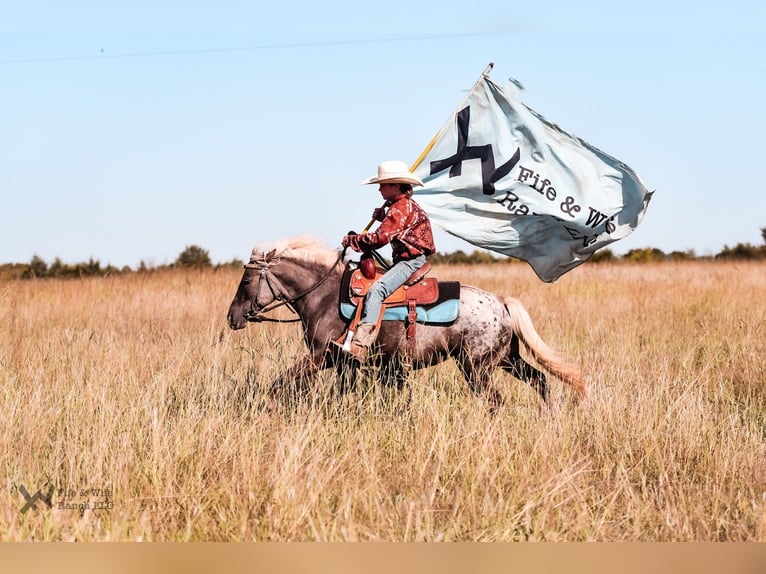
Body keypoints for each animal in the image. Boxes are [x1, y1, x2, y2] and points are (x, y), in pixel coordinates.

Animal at [225, 235, 584, 410]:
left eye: (246, 281)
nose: (232, 317)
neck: (324, 296)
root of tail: (501, 302)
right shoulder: (347, 365)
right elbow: (341, 395)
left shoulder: (322, 356)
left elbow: (281, 383)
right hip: (507, 359)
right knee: (541, 381)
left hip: (477, 367)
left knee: (497, 400)